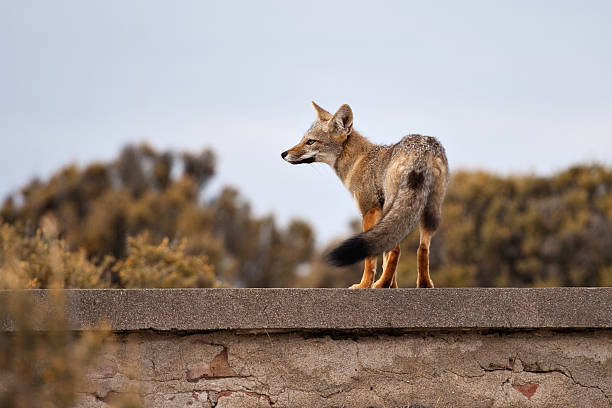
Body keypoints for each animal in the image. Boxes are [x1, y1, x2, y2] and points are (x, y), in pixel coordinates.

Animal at [282, 101, 450, 288]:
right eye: (303, 140)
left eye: (310, 142)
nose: (283, 154)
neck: (358, 161)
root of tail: (423, 148)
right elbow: (384, 256)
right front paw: (392, 287)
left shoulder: (369, 210)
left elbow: (371, 257)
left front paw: (365, 285)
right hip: (429, 210)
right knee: (422, 248)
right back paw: (423, 284)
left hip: (394, 207)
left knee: (395, 249)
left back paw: (381, 284)